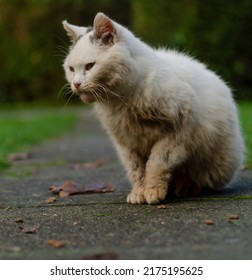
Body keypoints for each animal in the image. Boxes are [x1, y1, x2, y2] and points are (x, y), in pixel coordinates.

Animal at [62, 12, 244, 205]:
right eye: (71, 69)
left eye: (90, 66)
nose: (76, 84)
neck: (122, 101)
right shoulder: (126, 143)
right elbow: (136, 170)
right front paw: (139, 192)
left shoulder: (177, 132)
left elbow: (156, 163)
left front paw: (153, 191)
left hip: (214, 162)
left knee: (199, 178)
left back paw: (187, 187)